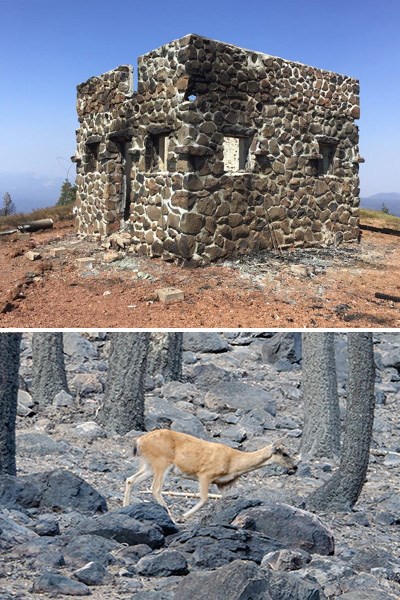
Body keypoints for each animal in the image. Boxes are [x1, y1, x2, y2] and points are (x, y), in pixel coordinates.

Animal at [122, 428, 296, 516]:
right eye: (284, 453)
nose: (295, 467)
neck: (233, 462)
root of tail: (139, 441)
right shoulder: (205, 473)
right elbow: (204, 498)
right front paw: (184, 517)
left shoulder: (224, 483)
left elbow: (225, 500)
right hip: (161, 462)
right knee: (155, 488)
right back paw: (172, 516)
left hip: (149, 465)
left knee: (130, 479)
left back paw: (125, 507)